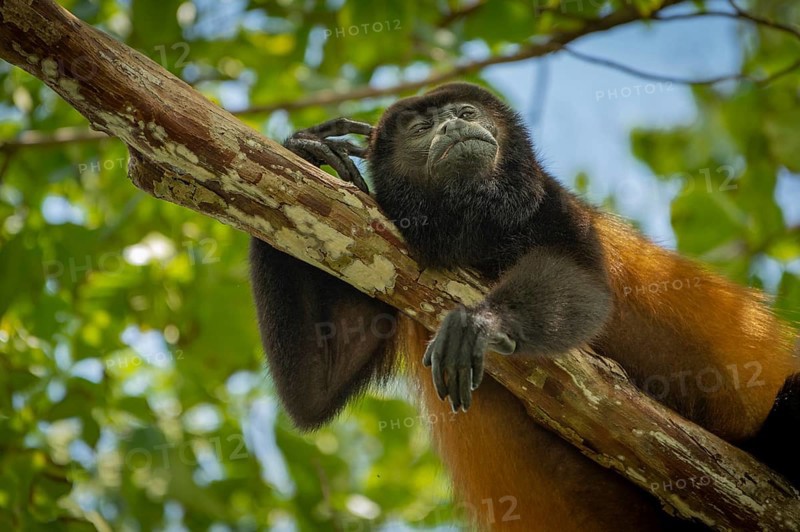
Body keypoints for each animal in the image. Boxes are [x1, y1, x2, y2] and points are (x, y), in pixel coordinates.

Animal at [249, 83, 800, 530]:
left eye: (467, 111)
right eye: (422, 128)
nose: (454, 125)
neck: (473, 231)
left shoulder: (549, 201)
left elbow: (584, 287)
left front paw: (482, 321)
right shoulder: (385, 257)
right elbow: (315, 387)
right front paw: (305, 147)